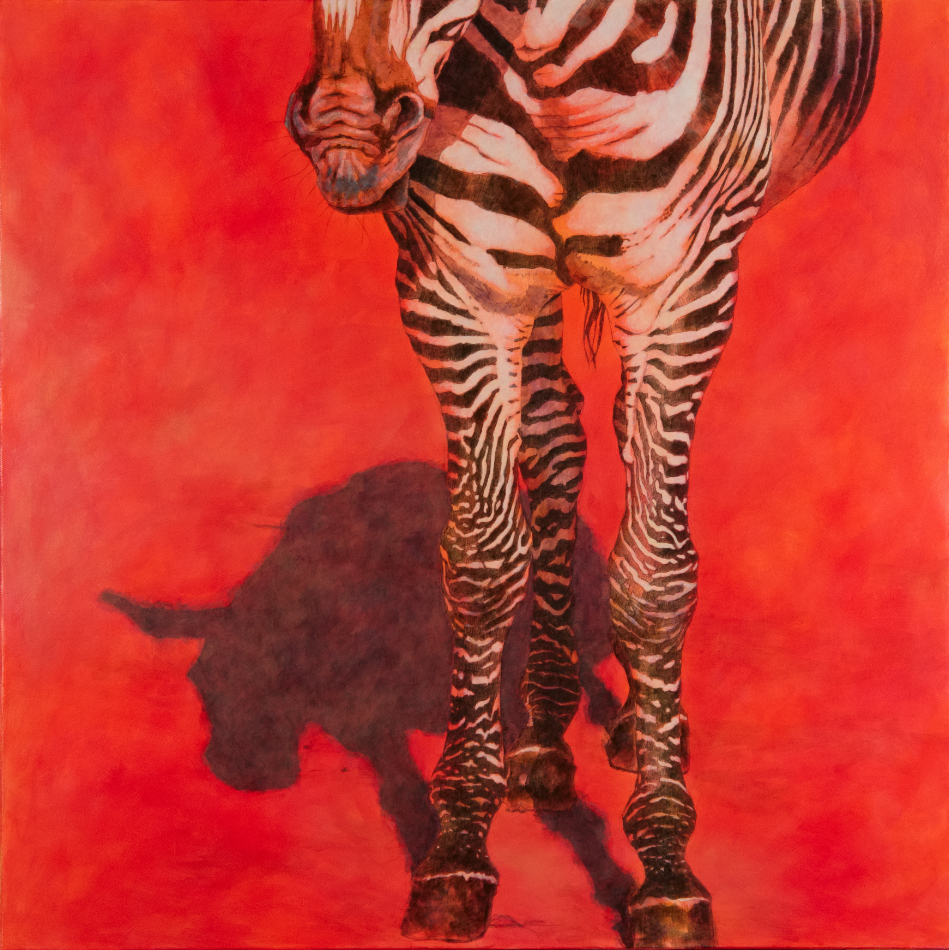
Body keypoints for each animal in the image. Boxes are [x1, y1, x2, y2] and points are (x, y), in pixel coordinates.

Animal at [286, 0, 880, 945]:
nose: (349, 138)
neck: (548, 65)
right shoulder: (458, 287)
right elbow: (483, 560)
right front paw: (457, 845)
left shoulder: (683, 286)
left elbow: (655, 576)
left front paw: (666, 868)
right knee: (559, 436)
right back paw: (543, 735)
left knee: (639, 461)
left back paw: (643, 722)